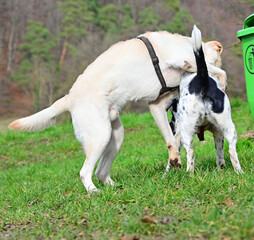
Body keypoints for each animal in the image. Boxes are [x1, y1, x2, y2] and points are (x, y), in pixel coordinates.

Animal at [9, 26, 226, 192]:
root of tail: (69, 98)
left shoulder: (156, 106)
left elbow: (171, 141)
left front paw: (174, 160)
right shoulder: (185, 61)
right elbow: (216, 70)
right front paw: (222, 82)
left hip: (116, 136)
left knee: (100, 172)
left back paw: (116, 189)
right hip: (100, 136)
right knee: (85, 172)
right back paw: (94, 192)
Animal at [166, 25, 243, 173]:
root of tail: (203, 80)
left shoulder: (178, 133)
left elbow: (175, 155)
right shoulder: (217, 133)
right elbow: (220, 154)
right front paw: (220, 168)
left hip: (186, 131)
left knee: (190, 152)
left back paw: (189, 174)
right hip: (229, 127)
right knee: (231, 151)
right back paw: (238, 172)